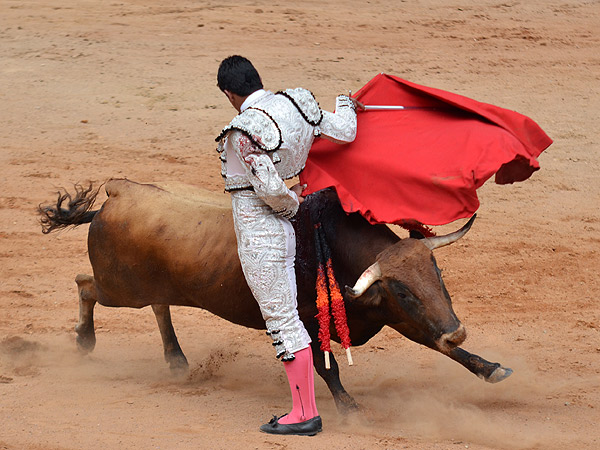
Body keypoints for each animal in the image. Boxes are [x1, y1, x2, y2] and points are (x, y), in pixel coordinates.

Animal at [39, 178, 510, 412]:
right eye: (402, 290)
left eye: (437, 273)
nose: (458, 330)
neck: (330, 245)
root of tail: (116, 195)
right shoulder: (313, 321)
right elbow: (325, 368)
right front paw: (349, 408)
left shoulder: (394, 315)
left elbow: (440, 345)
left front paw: (489, 368)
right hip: (120, 287)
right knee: (85, 284)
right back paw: (85, 342)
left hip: (146, 284)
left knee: (158, 304)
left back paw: (176, 359)